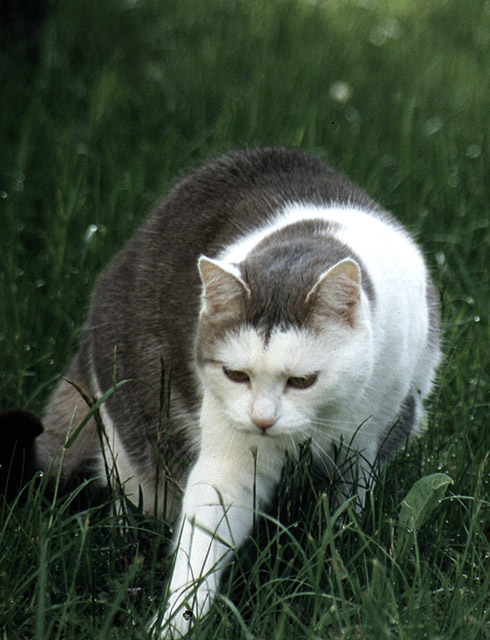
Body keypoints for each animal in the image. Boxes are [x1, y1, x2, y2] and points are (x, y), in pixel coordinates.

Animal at [33, 149, 440, 636]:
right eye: (236, 374)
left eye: (302, 381)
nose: (262, 419)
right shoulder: (229, 451)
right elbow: (204, 536)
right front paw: (177, 620)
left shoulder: (370, 436)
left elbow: (347, 507)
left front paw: (341, 551)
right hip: (132, 444)